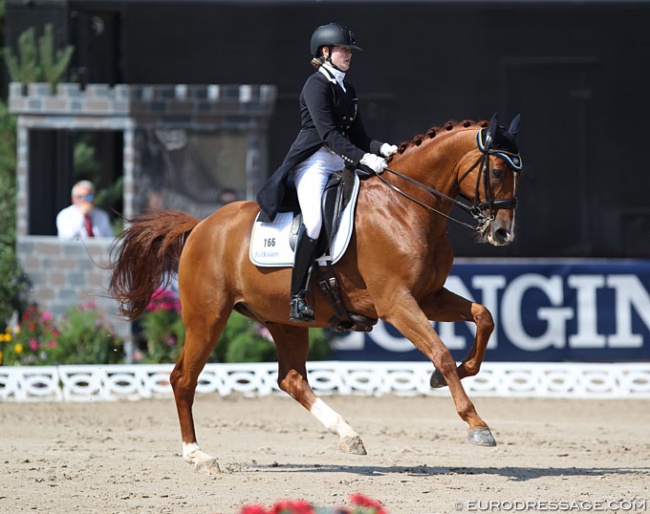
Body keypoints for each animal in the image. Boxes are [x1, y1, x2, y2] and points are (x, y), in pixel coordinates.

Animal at [106, 112, 520, 472]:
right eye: (498, 171)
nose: (503, 233)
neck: (404, 207)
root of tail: (201, 226)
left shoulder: (429, 297)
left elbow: (484, 316)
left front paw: (449, 376)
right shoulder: (397, 304)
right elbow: (441, 352)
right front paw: (477, 424)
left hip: (283, 321)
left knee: (290, 379)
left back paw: (348, 435)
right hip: (207, 319)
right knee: (182, 379)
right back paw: (198, 456)